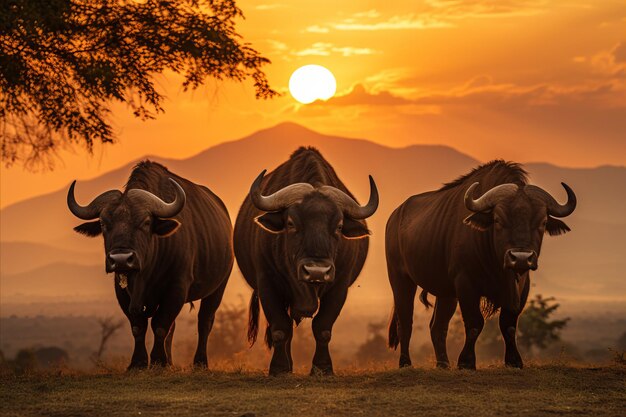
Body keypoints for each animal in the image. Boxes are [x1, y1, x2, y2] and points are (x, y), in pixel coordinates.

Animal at [67, 161, 234, 368]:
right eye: (104, 224)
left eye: (146, 222)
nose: (121, 259)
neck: (145, 272)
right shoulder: (122, 291)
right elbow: (138, 326)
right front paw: (138, 362)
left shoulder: (177, 288)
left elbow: (160, 325)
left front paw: (158, 360)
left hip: (218, 287)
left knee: (205, 321)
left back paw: (200, 362)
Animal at [233, 146, 376, 374]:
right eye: (291, 223)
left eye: (339, 226)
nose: (317, 271)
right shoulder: (267, 285)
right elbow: (280, 328)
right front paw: (280, 368)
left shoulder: (339, 287)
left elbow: (323, 327)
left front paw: (323, 367)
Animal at [386, 159, 576, 368]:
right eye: (498, 220)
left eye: (542, 222)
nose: (520, 257)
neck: (496, 262)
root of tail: (395, 217)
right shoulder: (466, 284)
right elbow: (474, 323)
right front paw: (466, 361)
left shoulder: (521, 285)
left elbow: (509, 324)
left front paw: (514, 360)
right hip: (400, 279)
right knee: (405, 321)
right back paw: (405, 362)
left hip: (446, 293)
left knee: (437, 326)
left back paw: (443, 363)